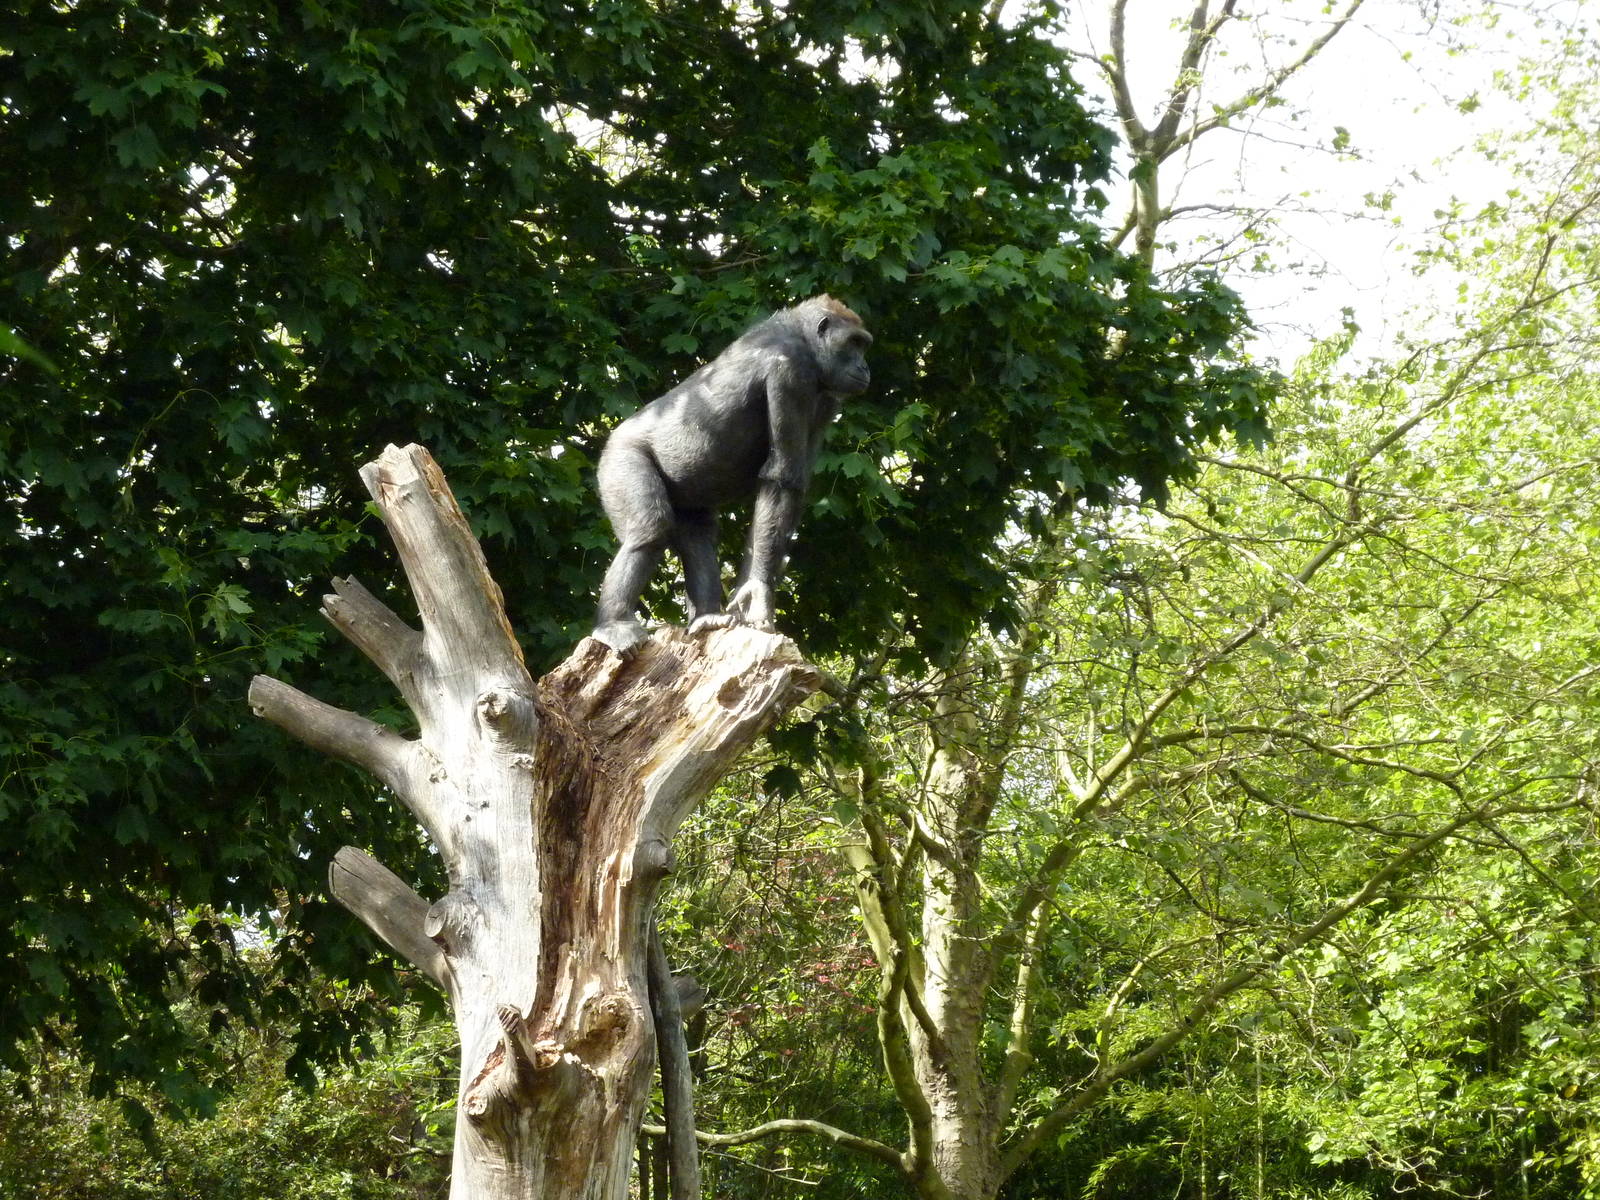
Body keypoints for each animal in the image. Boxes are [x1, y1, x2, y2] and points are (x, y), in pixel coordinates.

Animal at [592, 295, 873, 654]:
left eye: (863, 345)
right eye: (853, 343)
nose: (865, 368)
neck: (805, 339)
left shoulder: (827, 400)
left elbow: (787, 487)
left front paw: (752, 587)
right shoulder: (790, 370)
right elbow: (781, 477)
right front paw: (759, 591)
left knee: (697, 536)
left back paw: (706, 616)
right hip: (619, 456)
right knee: (648, 529)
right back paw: (613, 623)